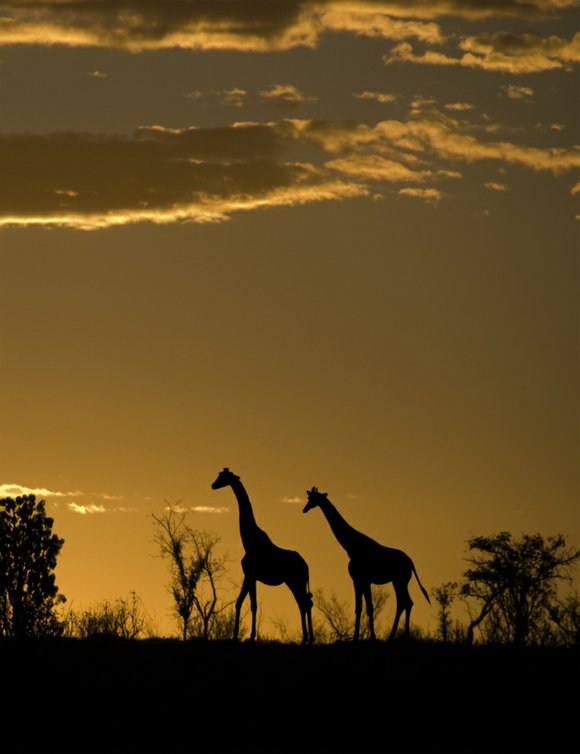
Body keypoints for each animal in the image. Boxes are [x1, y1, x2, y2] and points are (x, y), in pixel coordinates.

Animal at [211, 468, 314, 644]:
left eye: (223, 477)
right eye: (219, 475)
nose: (213, 485)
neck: (248, 541)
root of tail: (306, 566)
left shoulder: (250, 574)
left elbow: (248, 604)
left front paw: (246, 636)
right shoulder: (251, 576)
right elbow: (245, 603)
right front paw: (242, 636)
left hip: (296, 581)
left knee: (305, 603)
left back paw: (307, 639)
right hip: (294, 582)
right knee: (304, 603)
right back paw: (308, 639)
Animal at [303, 486, 430, 641]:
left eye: (314, 499)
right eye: (309, 498)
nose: (304, 509)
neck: (351, 546)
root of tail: (410, 561)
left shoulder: (362, 579)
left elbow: (368, 608)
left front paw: (370, 637)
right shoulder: (359, 580)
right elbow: (360, 608)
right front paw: (357, 637)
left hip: (399, 580)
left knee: (405, 602)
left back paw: (400, 636)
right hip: (399, 581)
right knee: (405, 602)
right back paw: (397, 635)